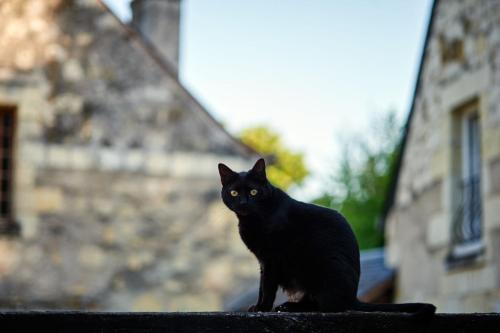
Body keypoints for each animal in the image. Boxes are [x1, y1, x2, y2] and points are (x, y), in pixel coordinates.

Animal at [217, 158, 436, 314]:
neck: (253, 219)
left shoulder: (272, 259)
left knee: (328, 305)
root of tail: (354, 296)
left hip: (322, 267)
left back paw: (291, 307)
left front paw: (262, 308)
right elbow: (262, 287)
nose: (244, 203)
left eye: (254, 192)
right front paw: (258, 306)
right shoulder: (264, 261)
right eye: (234, 193)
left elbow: (268, 287)